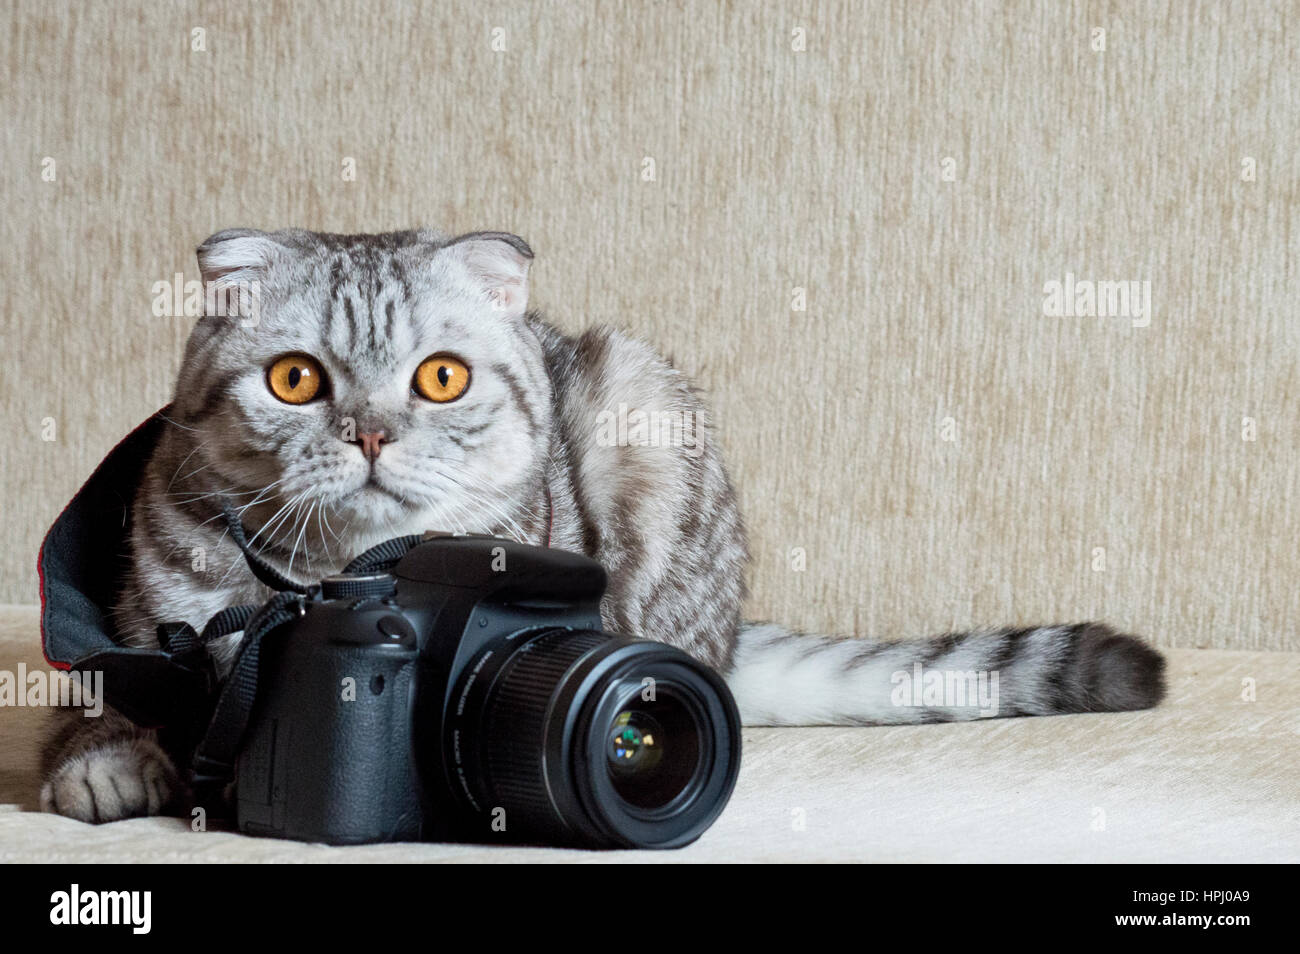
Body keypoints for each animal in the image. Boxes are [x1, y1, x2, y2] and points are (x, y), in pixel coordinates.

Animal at [38, 227, 1170, 826]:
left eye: (439, 378)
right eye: (294, 380)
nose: (371, 432)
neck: (331, 579)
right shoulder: (142, 605)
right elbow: (93, 692)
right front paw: (105, 757)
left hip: (644, 397)